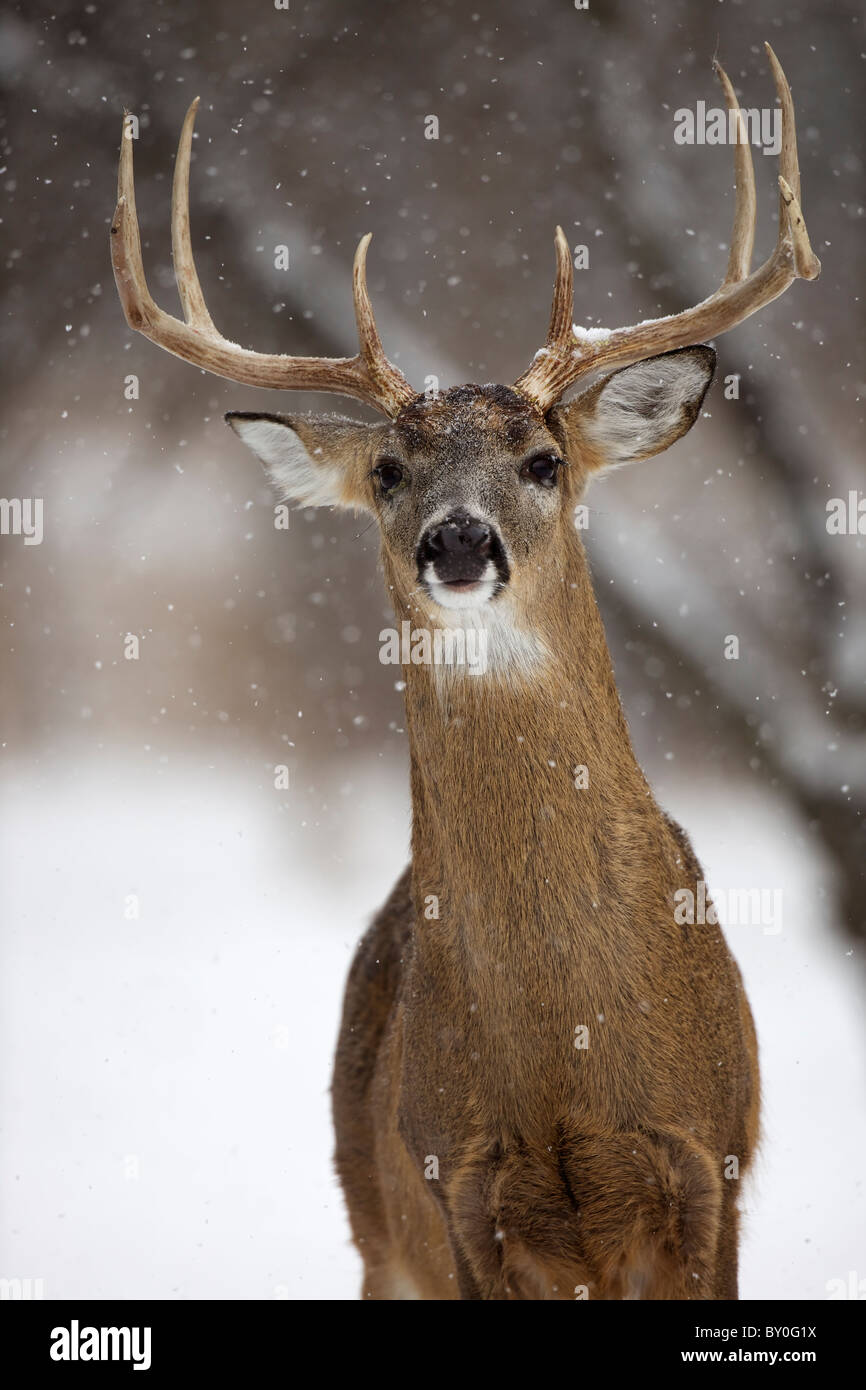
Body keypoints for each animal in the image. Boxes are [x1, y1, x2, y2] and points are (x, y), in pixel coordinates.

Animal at [109, 46, 817, 1301]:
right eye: (388, 470)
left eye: (542, 460)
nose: (456, 541)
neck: (566, 1044)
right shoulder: (458, 1198)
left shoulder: (709, 1168)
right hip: (377, 1237)